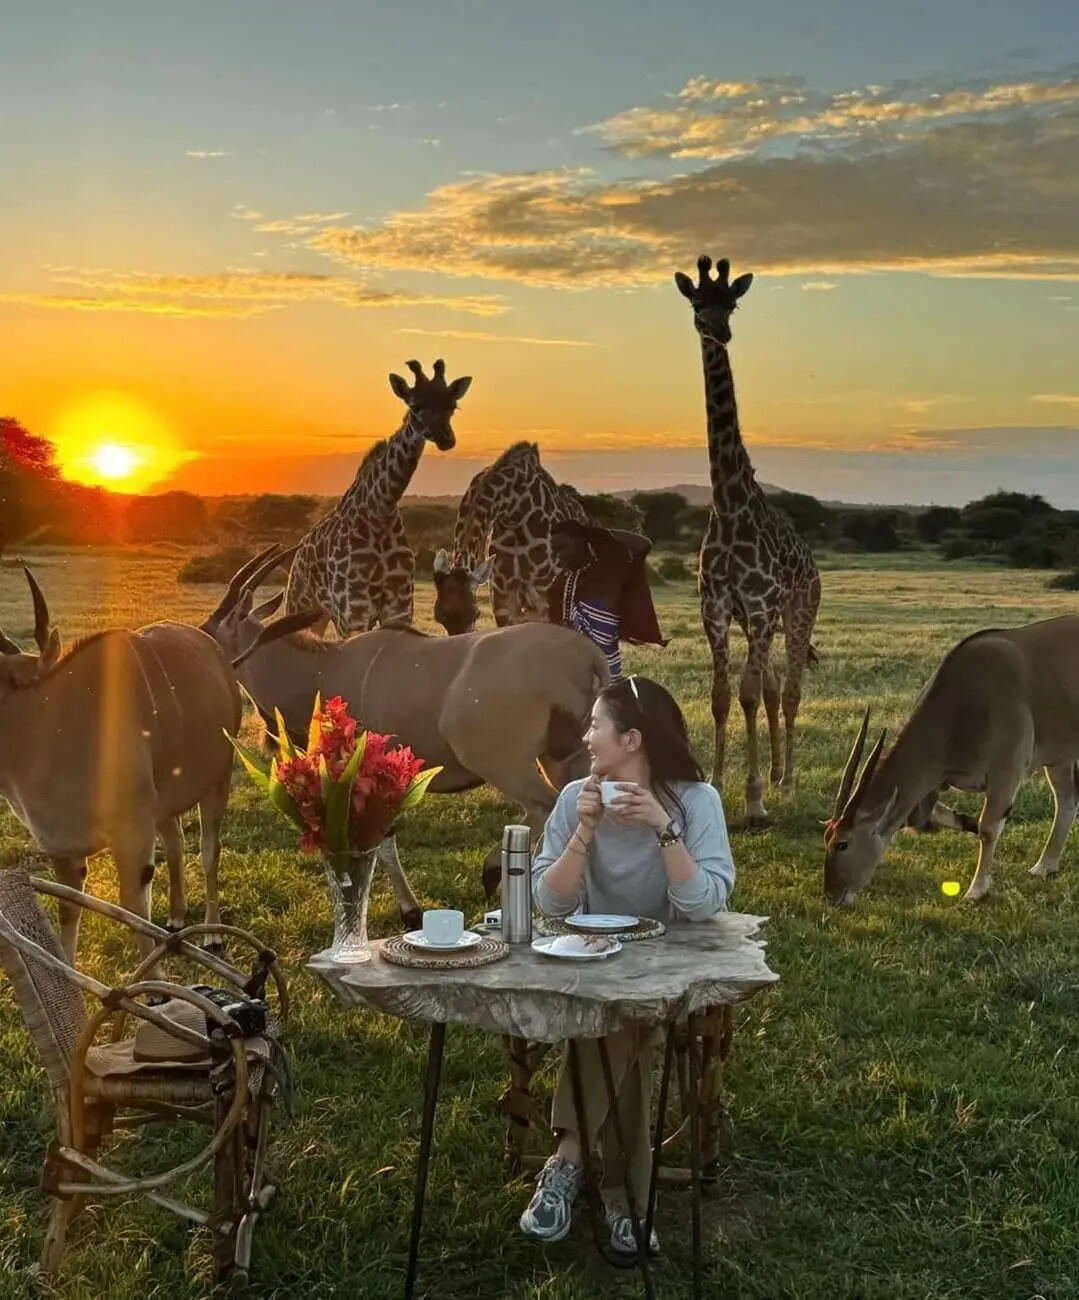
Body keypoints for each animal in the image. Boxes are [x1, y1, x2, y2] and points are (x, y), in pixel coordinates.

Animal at [285, 359, 471, 635]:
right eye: (415, 406)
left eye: (452, 406)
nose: (446, 439)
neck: (380, 509)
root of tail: (298, 554)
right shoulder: (353, 608)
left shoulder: (400, 602)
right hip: (300, 602)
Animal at [675, 255, 821, 825]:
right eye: (697, 302)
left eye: (732, 303)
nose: (719, 330)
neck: (729, 503)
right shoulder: (715, 607)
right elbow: (722, 695)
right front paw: (716, 782)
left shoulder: (757, 606)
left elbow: (748, 694)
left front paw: (755, 799)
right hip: (765, 621)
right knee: (778, 686)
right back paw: (780, 774)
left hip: (798, 613)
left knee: (792, 689)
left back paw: (789, 783)